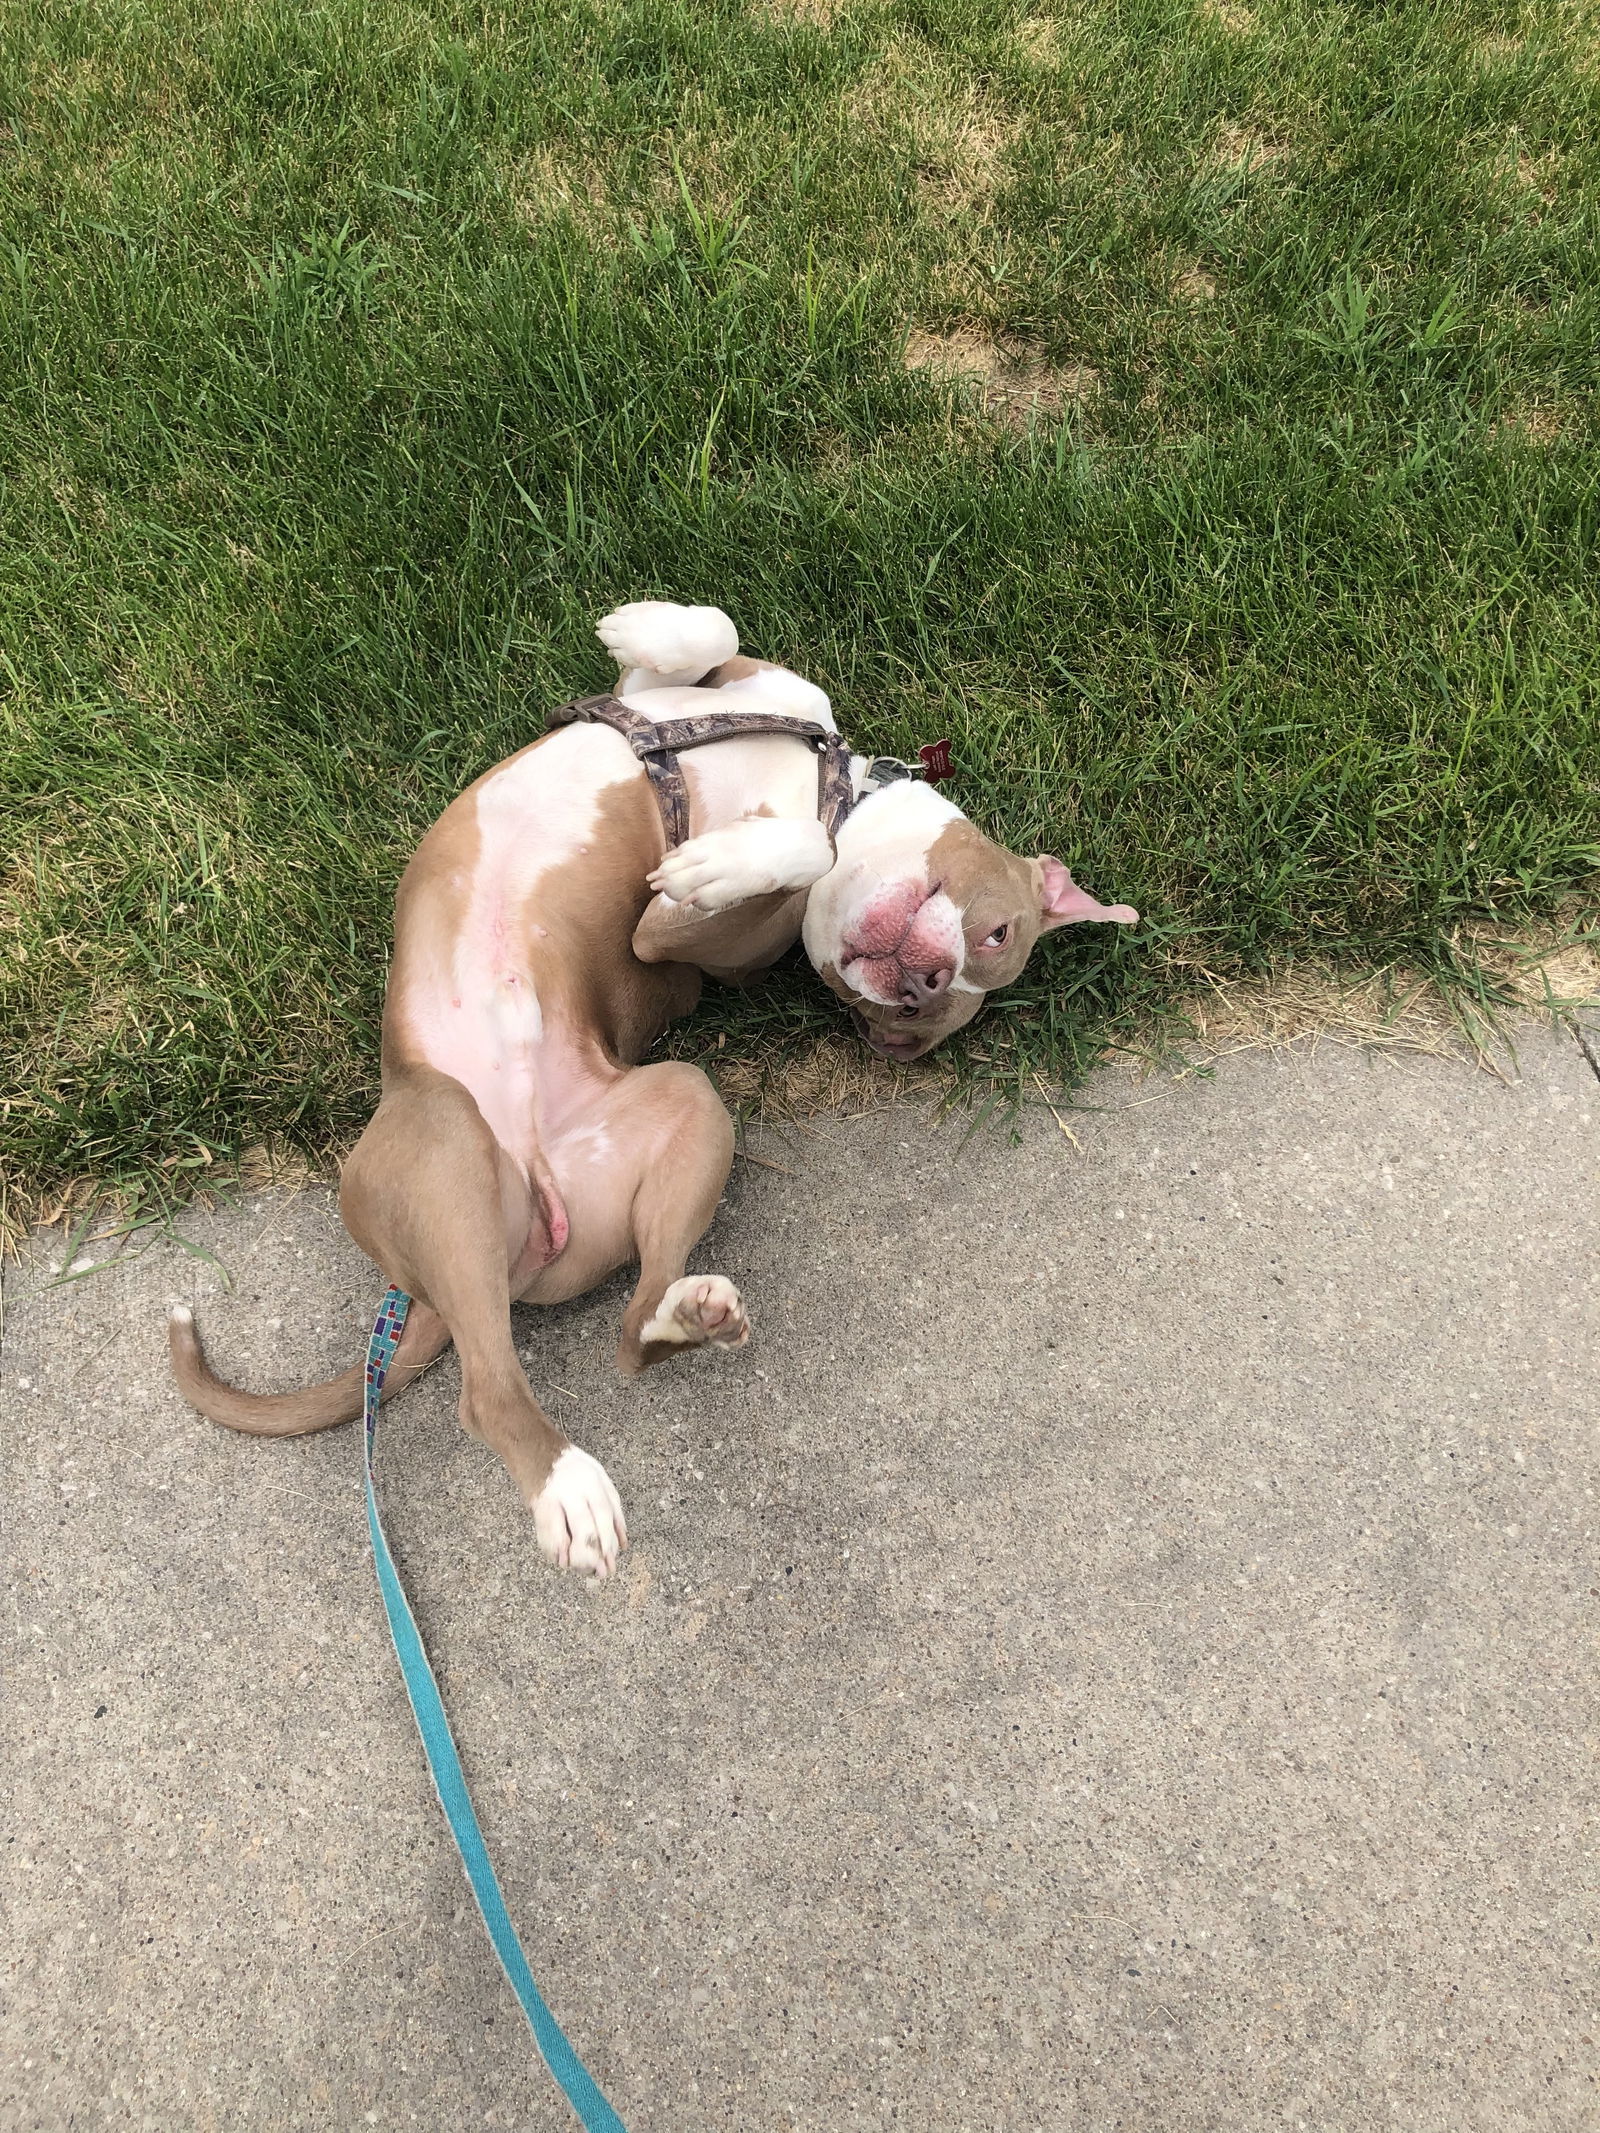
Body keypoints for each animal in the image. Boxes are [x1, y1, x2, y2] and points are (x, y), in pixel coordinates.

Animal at [169, 601, 1134, 1569]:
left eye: (901, 1027)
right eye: (1000, 931)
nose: (922, 988)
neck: (825, 782)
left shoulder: (668, 939)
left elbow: (804, 853)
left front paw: (731, 858)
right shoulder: (694, 694)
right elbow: (711, 635)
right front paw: (646, 627)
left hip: (636, 1110)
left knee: (537, 1372)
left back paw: (599, 1441)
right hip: (471, 1155)